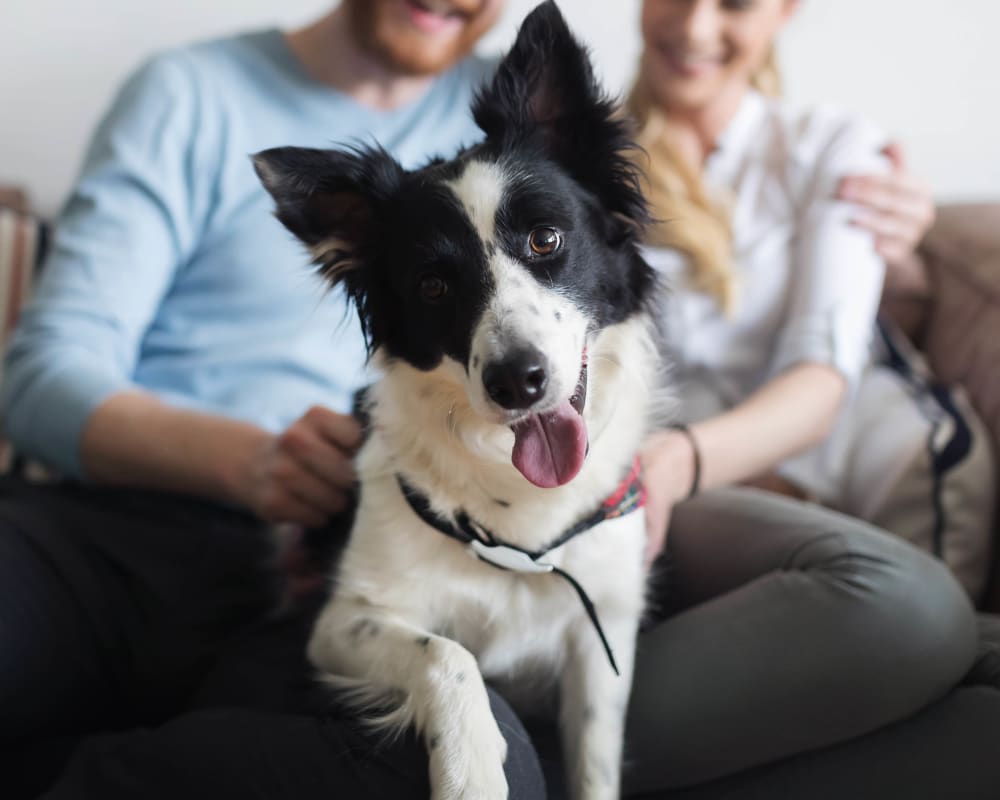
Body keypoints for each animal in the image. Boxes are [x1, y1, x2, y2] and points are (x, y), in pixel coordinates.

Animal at [256, 3, 664, 796]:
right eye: (434, 286)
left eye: (546, 239)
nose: (517, 380)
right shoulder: (343, 622)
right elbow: (450, 655)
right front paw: (472, 769)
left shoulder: (601, 635)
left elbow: (596, 759)